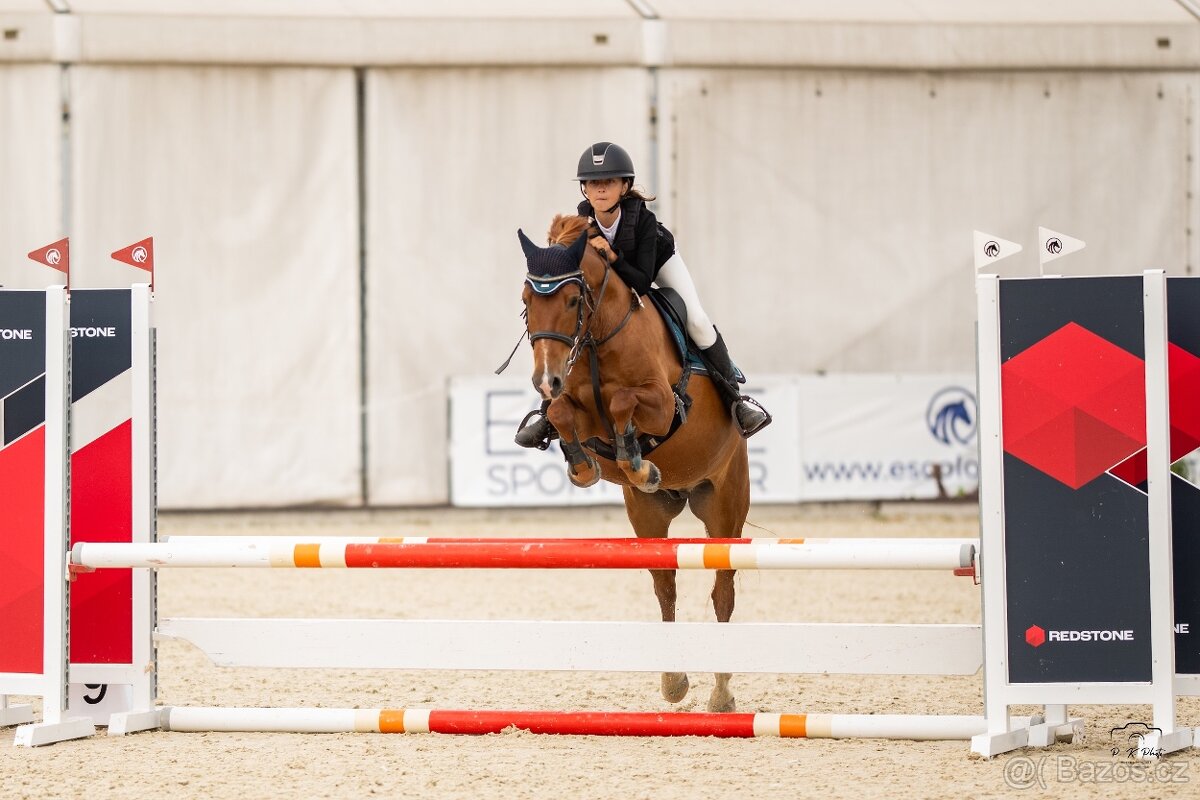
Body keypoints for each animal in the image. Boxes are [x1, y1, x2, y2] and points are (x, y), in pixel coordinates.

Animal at [517, 214, 750, 713]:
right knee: (665, 585)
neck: (597, 337)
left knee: (723, 589)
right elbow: (562, 414)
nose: (545, 379)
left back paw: (721, 694)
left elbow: (625, 400)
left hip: (724, 506)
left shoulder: (663, 406)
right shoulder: (577, 408)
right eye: (526, 302)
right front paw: (586, 466)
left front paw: (638, 462)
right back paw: (673, 681)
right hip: (648, 516)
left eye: (572, 299)